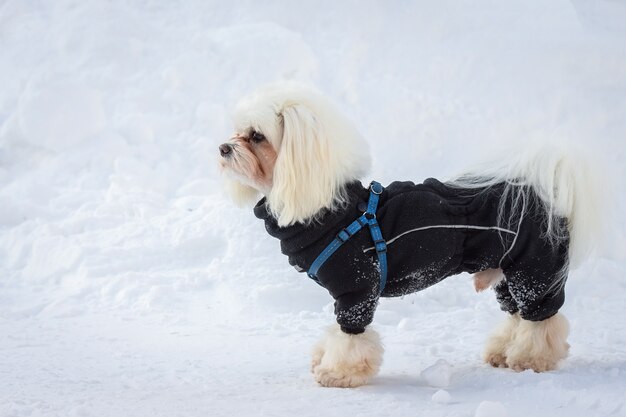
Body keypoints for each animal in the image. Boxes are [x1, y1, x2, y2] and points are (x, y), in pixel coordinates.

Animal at [218, 83, 600, 386]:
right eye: (237, 131)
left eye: (257, 136)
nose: (223, 147)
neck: (331, 207)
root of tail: (545, 194)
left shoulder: (357, 291)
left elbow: (350, 336)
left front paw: (339, 372)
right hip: (508, 275)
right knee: (517, 314)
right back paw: (503, 352)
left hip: (534, 271)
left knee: (541, 319)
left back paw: (532, 358)